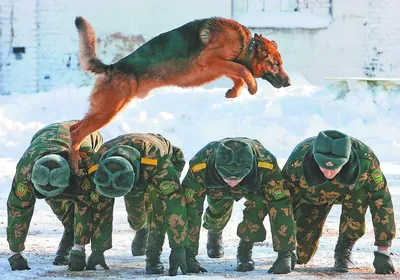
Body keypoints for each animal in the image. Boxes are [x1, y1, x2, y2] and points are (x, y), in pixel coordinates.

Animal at [69, 16, 290, 173]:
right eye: (276, 64)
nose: (289, 82)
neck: (246, 46)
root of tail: (112, 67)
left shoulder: (218, 67)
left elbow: (238, 75)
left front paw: (234, 92)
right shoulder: (210, 61)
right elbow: (243, 71)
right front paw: (252, 87)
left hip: (104, 110)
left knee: (74, 128)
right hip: (108, 111)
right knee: (76, 133)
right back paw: (74, 166)